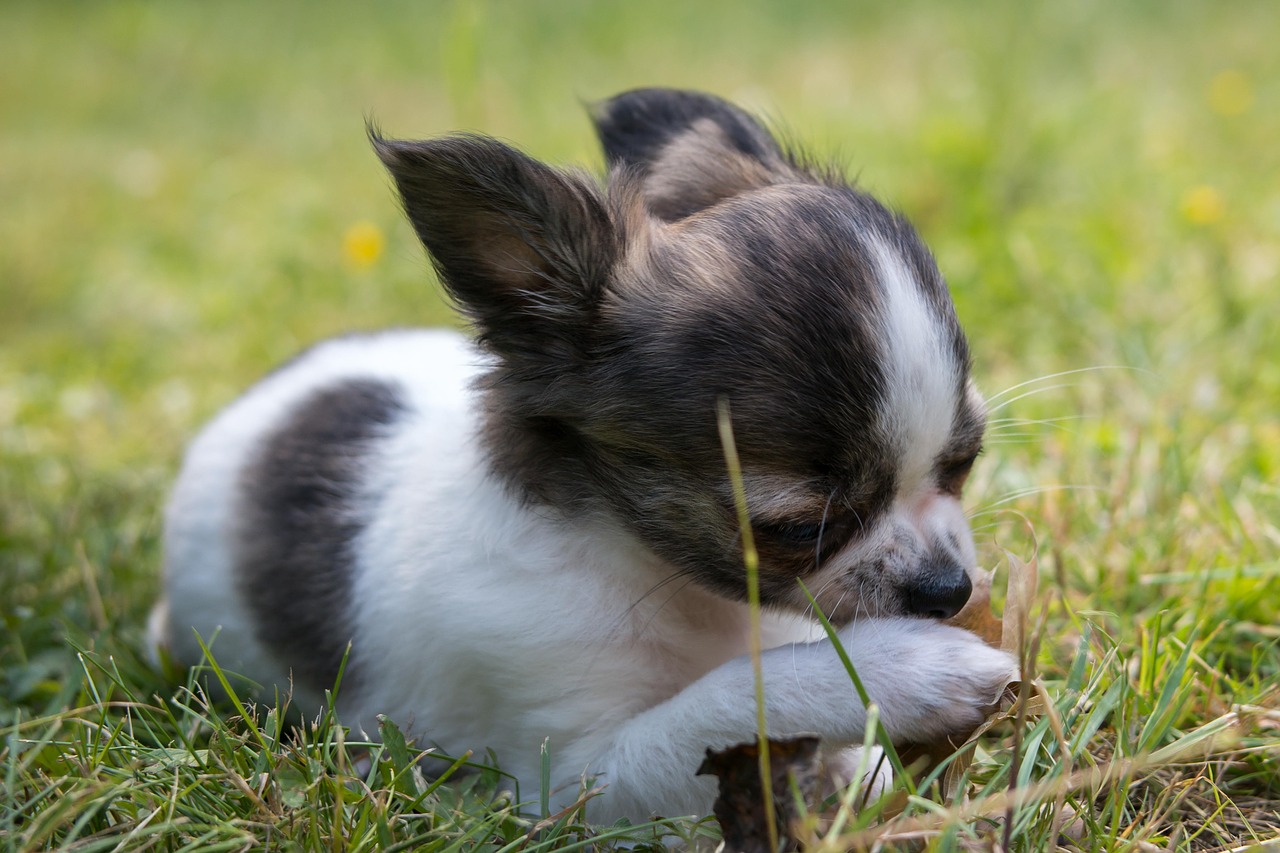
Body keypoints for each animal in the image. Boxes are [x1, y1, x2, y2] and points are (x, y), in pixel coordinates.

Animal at [154, 89, 1018, 819]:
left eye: (964, 463)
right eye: (801, 527)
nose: (947, 589)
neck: (680, 590)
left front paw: (853, 771)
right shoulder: (574, 774)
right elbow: (736, 696)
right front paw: (904, 673)